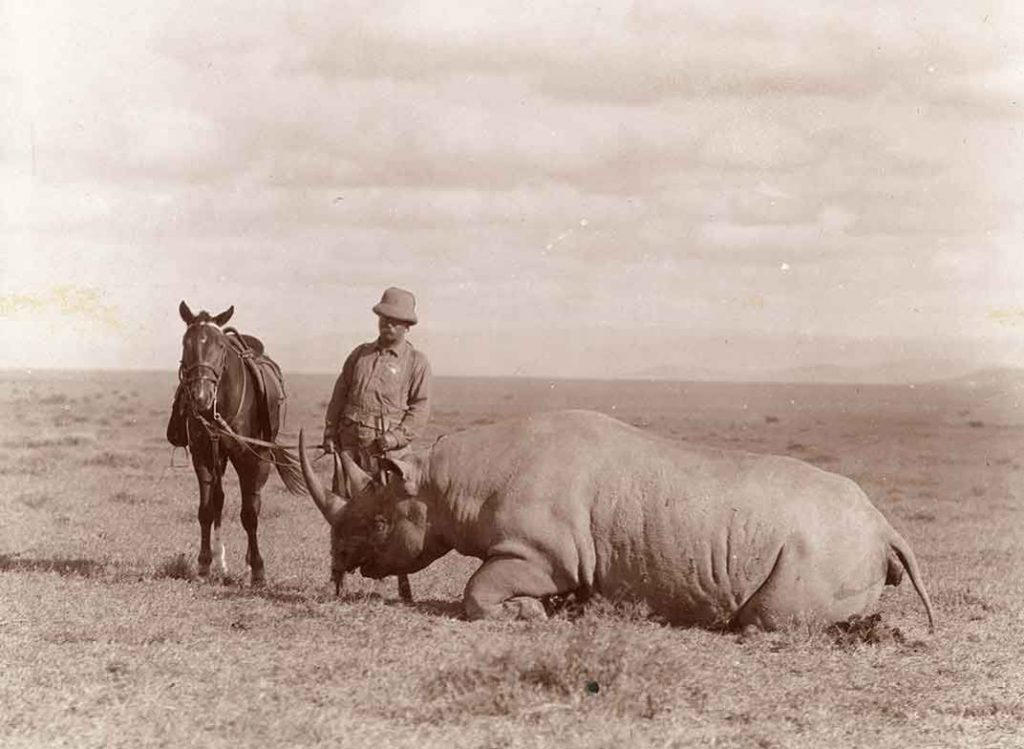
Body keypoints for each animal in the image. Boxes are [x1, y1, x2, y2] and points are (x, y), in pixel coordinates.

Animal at [174, 301, 303, 581]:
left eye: (220, 346)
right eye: (186, 343)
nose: (201, 396)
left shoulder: (249, 459)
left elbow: (250, 513)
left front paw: (257, 568)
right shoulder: (203, 456)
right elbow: (206, 510)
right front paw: (204, 563)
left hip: (258, 460)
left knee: (253, 500)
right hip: (219, 458)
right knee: (219, 500)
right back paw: (220, 561)